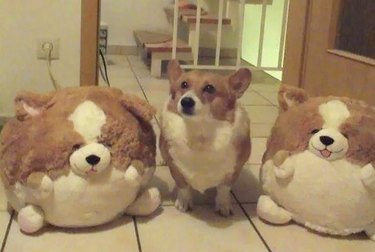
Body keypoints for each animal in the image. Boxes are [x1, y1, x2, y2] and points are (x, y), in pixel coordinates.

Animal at [159, 60, 253, 216]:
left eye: (210, 88)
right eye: (184, 84)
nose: (186, 101)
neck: (199, 131)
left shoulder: (233, 171)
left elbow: (224, 189)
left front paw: (223, 205)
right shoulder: (176, 169)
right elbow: (183, 186)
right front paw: (184, 203)